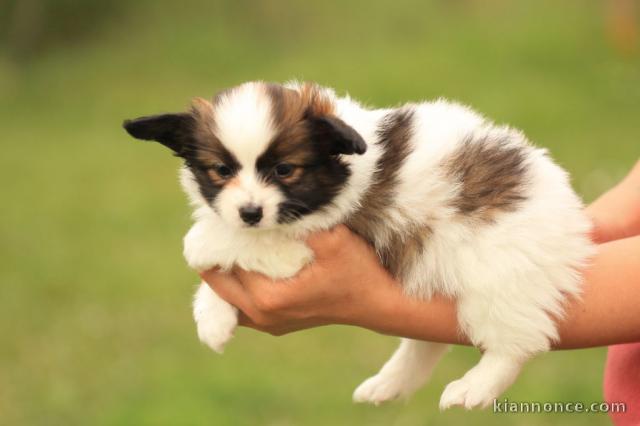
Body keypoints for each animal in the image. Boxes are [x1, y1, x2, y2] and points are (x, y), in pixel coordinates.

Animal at [124, 80, 596, 410]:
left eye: (284, 170)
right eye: (221, 170)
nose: (250, 212)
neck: (338, 170)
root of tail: (574, 224)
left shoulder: (301, 247)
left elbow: (236, 243)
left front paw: (202, 242)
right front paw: (213, 316)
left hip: (499, 275)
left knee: (515, 342)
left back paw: (476, 387)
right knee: (428, 339)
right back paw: (389, 384)